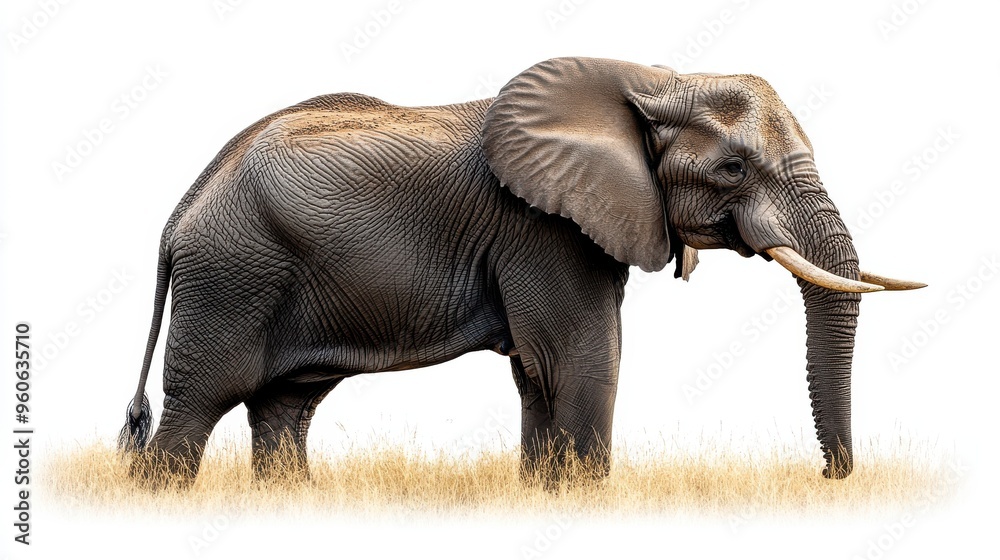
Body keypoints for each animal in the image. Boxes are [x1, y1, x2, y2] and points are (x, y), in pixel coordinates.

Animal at [118, 57, 923, 483]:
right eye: (732, 169)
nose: (828, 476)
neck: (652, 78)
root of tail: (181, 208)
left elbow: (540, 373)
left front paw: (546, 494)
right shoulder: (542, 229)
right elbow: (583, 359)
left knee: (285, 407)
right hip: (232, 274)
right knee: (200, 401)